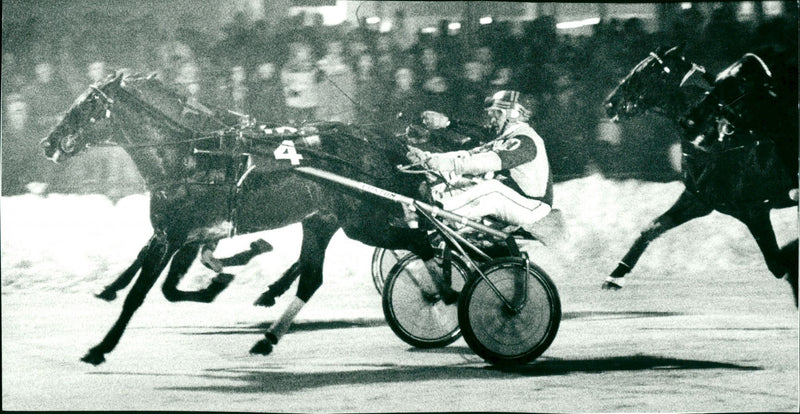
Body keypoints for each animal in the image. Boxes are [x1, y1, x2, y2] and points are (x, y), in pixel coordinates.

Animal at [40, 74, 440, 366]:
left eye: (88, 105)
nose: (47, 143)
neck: (191, 156)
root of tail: (380, 142)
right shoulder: (182, 235)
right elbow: (168, 287)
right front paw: (220, 280)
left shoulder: (173, 236)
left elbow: (140, 295)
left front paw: (100, 348)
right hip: (322, 221)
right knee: (312, 279)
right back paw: (267, 336)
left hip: (365, 222)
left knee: (422, 243)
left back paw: (440, 292)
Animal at [604, 44, 796, 304]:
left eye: (649, 69)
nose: (610, 104)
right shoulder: (699, 199)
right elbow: (652, 227)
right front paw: (616, 275)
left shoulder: (754, 210)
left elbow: (777, 265)